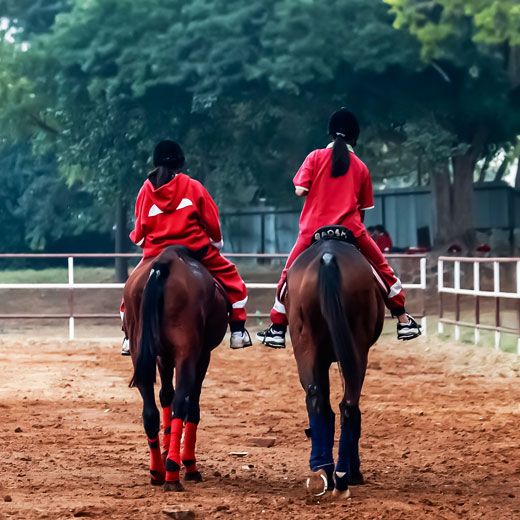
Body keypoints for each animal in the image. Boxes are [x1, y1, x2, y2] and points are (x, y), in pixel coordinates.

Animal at [124, 247, 228, 492]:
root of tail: (165, 261)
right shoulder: (201, 356)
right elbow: (192, 406)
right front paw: (188, 463)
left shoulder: (163, 356)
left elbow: (165, 397)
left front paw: (165, 448)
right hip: (187, 354)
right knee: (182, 403)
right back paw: (173, 472)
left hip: (140, 353)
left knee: (150, 411)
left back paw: (157, 471)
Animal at [284, 225, 386, 498]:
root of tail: (328, 256)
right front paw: (354, 470)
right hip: (354, 350)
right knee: (348, 406)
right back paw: (341, 475)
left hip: (308, 345)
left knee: (319, 400)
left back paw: (327, 471)